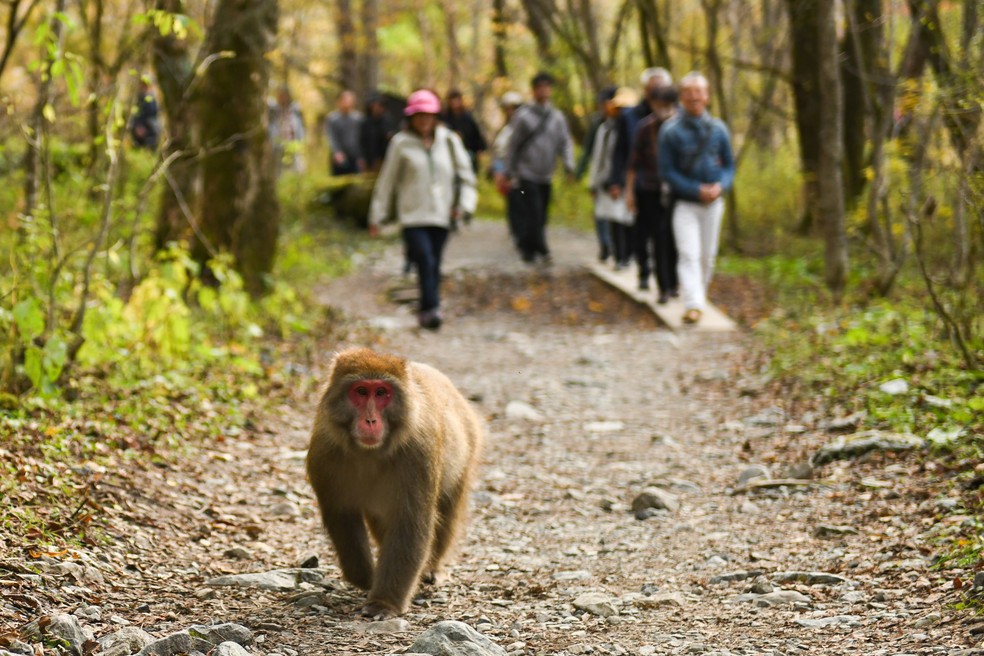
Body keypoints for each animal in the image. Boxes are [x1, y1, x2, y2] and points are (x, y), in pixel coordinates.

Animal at [306, 347, 484, 619]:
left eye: (381, 393)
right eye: (361, 391)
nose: (370, 420)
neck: (369, 452)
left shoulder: (419, 452)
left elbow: (410, 521)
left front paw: (384, 602)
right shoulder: (324, 452)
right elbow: (342, 515)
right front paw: (365, 577)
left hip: (467, 451)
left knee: (447, 512)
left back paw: (431, 568)